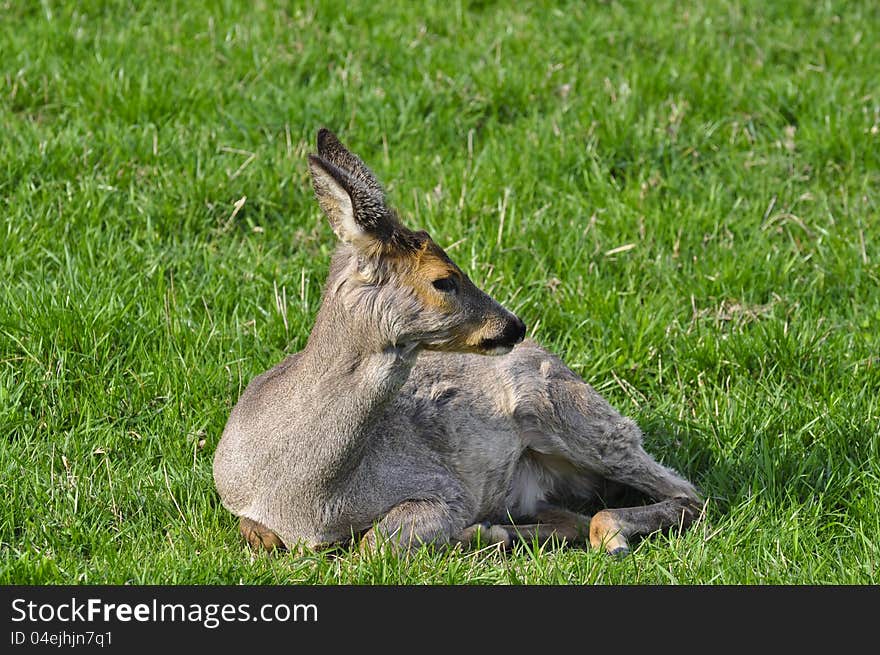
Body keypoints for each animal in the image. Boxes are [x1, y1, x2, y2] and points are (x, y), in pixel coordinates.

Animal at [211, 128, 700, 560]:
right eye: (443, 279)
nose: (514, 325)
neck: (304, 497)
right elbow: (258, 533)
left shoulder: (445, 489)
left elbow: (374, 545)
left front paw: (474, 534)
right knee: (581, 517)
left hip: (572, 415)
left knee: (685, 493)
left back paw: (602, 538)